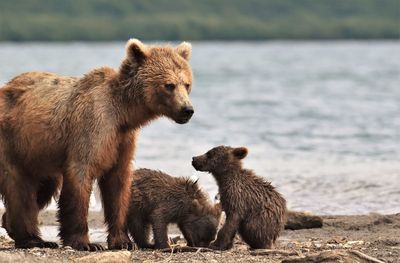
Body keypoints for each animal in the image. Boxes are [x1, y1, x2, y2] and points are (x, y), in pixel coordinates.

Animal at [0, 39, 195, 252]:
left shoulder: (122, 140)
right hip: (13, 141)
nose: (187, 109)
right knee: (19, 187)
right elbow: (81, 176)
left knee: (42, 188)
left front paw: (123, 241)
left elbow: (117, 186)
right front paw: (85, 243)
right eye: (169, 85)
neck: (124, 114)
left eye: (187, 84)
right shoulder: (92, 128)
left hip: (39, 153)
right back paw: (32, 239)